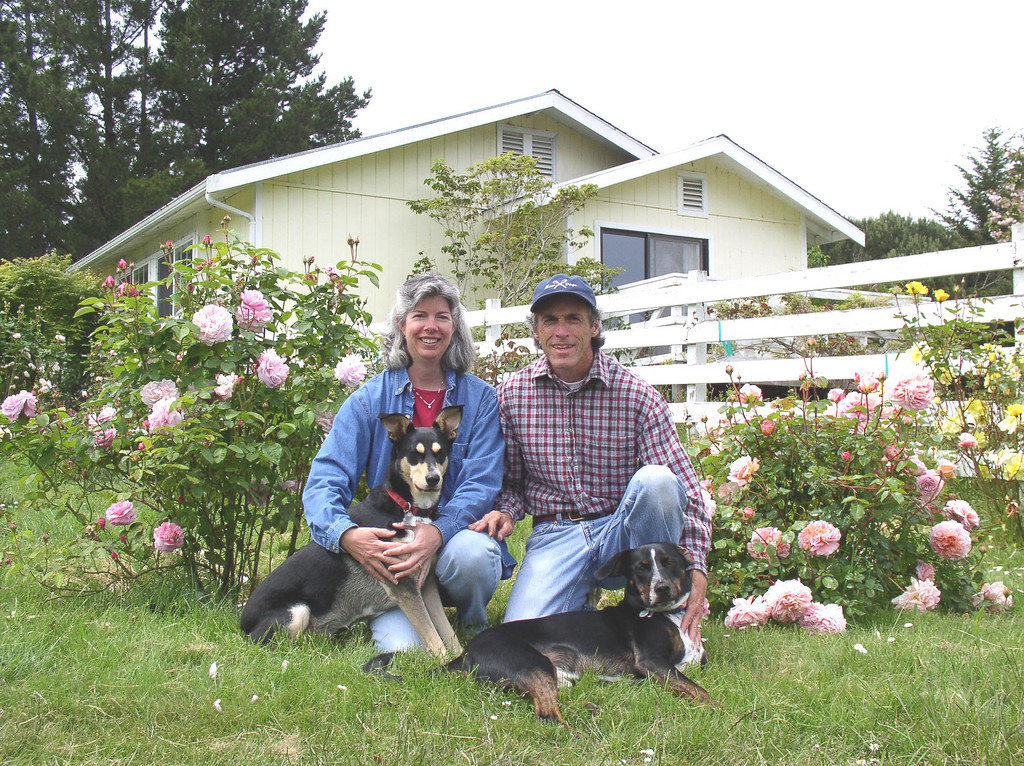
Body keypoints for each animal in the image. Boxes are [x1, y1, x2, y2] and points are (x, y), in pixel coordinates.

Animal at [240, 406, 464, 657]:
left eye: (440, 453)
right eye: (415, 454)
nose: (433, 479)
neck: (411, 509)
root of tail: (242, 623)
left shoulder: (425, 583)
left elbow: (448, 634)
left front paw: (460, 657)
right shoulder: (403, 585)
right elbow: (431, 635)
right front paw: (442, 661)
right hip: (297, 611)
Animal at [437, 543, 711, 724]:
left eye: (669, 562)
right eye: (640, 569)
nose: (661, 588)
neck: (669, 614)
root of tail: (467, 652)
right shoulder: (652, 661)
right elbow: (701, 691)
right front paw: (718, 711)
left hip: (559, 678)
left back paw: (590, 708)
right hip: (533, 664)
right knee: (548, 716)